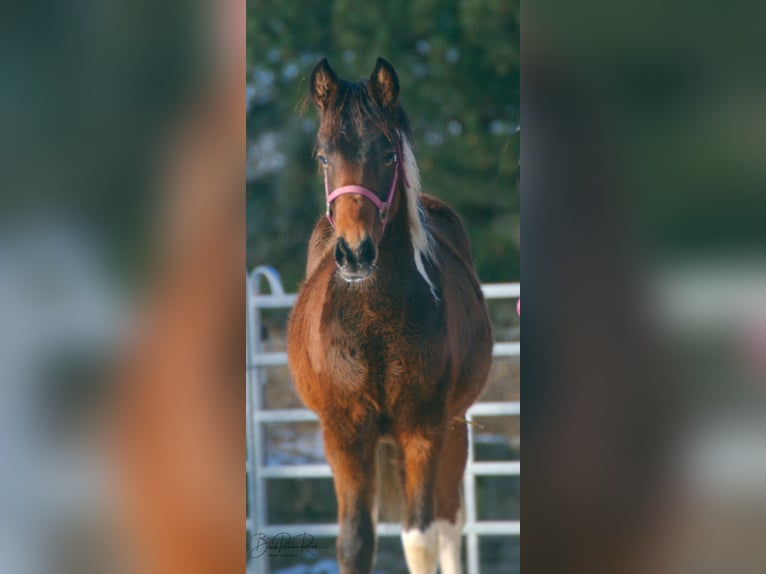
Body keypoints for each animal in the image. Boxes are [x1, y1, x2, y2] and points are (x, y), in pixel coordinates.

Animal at [287, 57, 493, 574]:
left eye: (387, 154)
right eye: (323, 156)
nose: (356, 253)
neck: (375, 325)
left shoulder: (424, 427)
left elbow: (420, 539)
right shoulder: (343, 431)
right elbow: (356, 542)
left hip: (452, 427)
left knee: (448, 522)